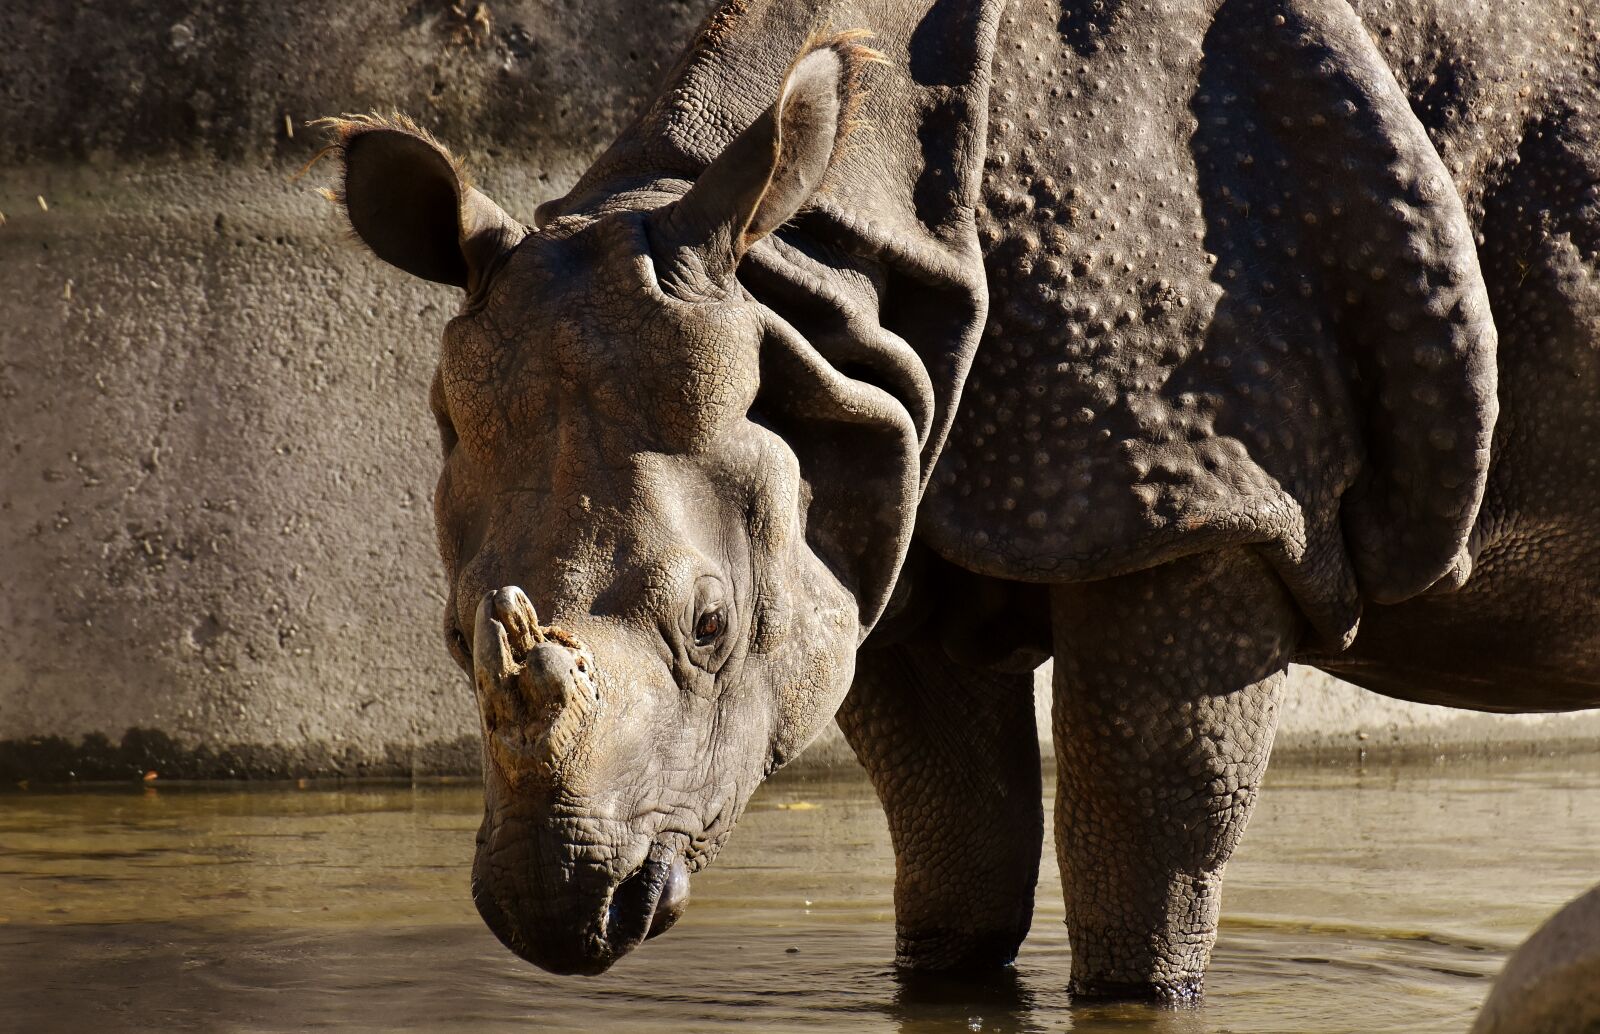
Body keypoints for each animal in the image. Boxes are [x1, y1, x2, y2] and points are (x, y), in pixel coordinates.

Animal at [321, 0, 1600, 1001]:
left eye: (710, 626)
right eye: (455, 632)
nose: (557, 909)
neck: (814, 284)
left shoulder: (1203, 501)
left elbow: (1151, 844)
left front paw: (1146, 978)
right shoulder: (878, 486)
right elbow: (955, 842)